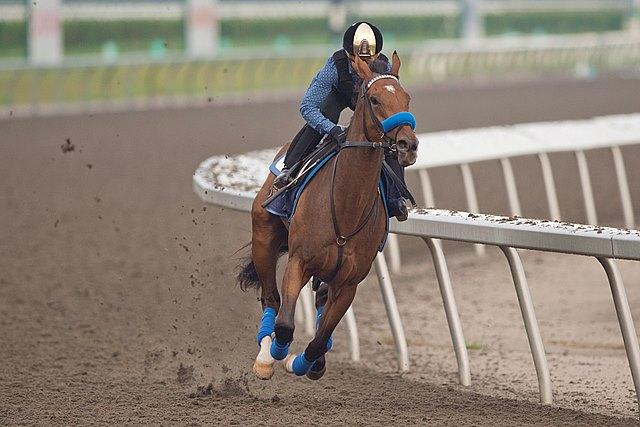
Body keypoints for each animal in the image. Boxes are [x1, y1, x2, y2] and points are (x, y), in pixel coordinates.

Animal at [237, 52, 419, 380]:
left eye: (406, 98)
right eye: (374, 99)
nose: (407, 145)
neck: (346, 208)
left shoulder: (349, 283)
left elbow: (320, 340)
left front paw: (306, 363)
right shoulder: (299, 261)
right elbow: (286, 325)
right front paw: (279, 355)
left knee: (320, 302)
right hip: (264, 238)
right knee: (270, 299)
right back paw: (265, 355)